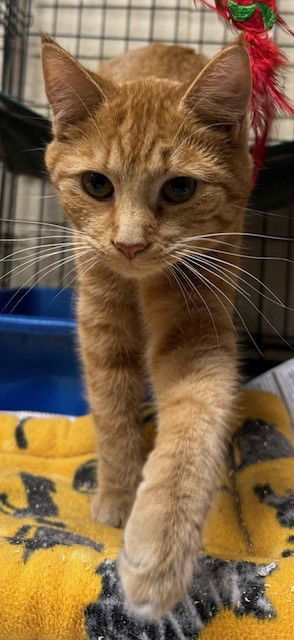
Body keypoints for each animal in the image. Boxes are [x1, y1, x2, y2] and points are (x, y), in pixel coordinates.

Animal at [41, 36, 253, 620]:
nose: (129, 245)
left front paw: (158, 549)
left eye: (179, 189)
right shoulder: (102, 323)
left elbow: (192, 429)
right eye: (97, 184)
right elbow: (113, 415)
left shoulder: (196, 327)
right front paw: (117, 497)